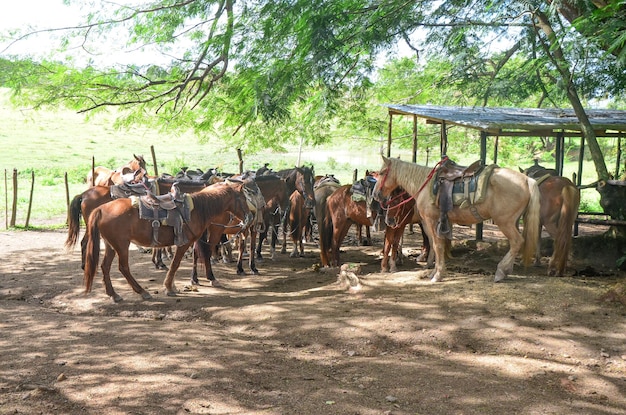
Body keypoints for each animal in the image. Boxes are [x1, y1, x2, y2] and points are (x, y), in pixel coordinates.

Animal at [83, 180, 254, 300]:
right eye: (243, 198)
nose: (251, 217)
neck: (197, 209)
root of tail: (101, 209)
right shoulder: (184, 243)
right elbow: (176, 264)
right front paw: (169, 288)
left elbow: (178, 263)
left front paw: (173, 286)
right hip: (122, 245)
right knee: (123, 268)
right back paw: (142, 292)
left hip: (111, 245)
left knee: (105, 266)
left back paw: (114, 294)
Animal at [370, 156, 540, 282]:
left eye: (383, 172)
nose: (375, 194)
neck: (424, 185)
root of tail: (527, 180)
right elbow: (436, 245)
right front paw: (433, 272)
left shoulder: (431, 221)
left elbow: (437, 245)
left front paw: (437, 275)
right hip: (514, 221)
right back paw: (507, 270)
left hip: (504, 222)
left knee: (517, 241)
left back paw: (501, 271)